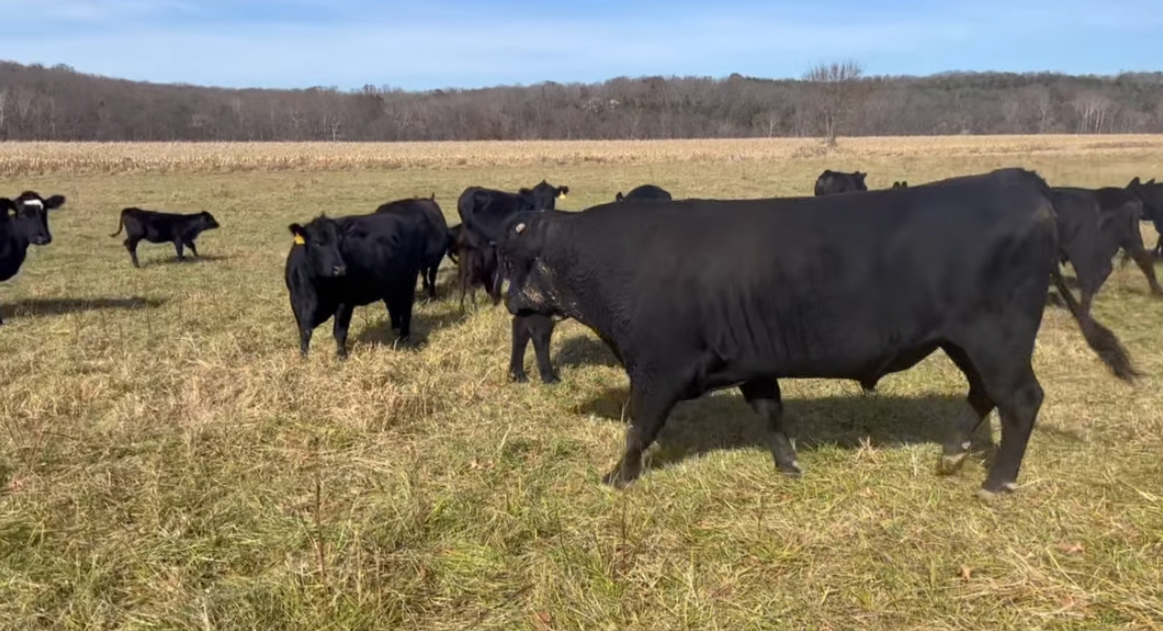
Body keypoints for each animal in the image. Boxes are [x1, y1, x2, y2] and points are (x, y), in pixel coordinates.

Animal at [284, 212, 426, 359]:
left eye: (340, 243)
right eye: (317, 243)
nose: (340, 269)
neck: (318, 287)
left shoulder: (345, 302)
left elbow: (339, 331)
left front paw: (342, 356)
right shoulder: (296, 301)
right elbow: (305, 331)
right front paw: (303, 356)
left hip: (409, 281)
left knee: (406, 308)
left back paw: (404, 337)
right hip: (391, 287)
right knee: (393, 307)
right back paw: (395, 332)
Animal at [497, 168, 1137, 498]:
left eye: (515, 257)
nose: (507, 300)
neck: (613, 258)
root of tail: (1021, 184)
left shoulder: (660, 366)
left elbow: (639, 426)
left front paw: (617, 477)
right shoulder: (750, 360)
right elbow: (770, 414)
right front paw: (789, 466)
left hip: (996, 338)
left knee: (1021, 400)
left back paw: (997, 481)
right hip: (966, 342)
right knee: (985, 394)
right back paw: (952, 455)